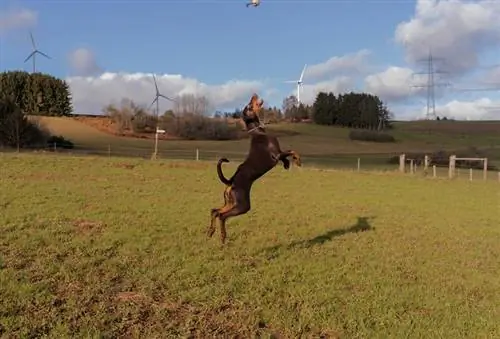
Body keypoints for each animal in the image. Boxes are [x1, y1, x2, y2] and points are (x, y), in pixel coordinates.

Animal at [207, 94, 300, 246]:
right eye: (249, 106)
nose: (253, 95)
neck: (258, 132)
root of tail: (230, 182)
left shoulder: (278, 155)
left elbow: (286, 157)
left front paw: (287, 164)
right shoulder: (276, 154)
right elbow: (291, 151)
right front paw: (297, 160)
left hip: (231, 203)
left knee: (214, 211)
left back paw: (211, 231)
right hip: (243, 205)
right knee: (222, 216)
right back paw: (222, 236)